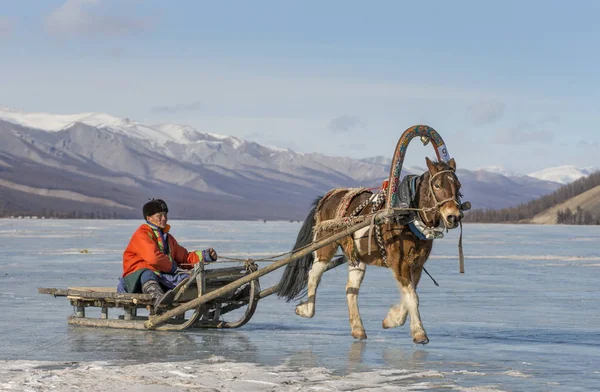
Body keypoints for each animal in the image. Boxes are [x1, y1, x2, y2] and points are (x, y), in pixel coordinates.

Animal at [274, 156, 462, 344]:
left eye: (458, 185)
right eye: (437, 185)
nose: (454, 216)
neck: (407, 215)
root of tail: (327, 197)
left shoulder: (416, 264)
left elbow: (409, 295)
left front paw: (391, 319)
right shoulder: (399, 262)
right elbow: (412, 297)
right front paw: (419, 333)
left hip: (355, 256)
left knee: (351, 288)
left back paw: (358, 329)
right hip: (325, 244)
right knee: (314, 274)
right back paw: (306, 310)